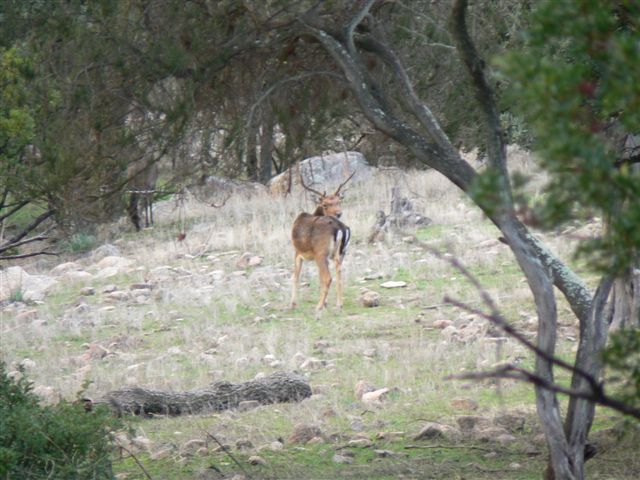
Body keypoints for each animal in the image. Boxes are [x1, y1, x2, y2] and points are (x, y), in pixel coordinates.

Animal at [290, 169, 356, 318]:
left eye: (339, 201)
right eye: (325, 204)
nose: (339, 213)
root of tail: (340, 228)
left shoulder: (298, 252)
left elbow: (296, 276)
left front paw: (292, 304)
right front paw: (326, 303)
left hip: (321, 252)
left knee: (328, 278)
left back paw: (318, 307)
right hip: (340, 253)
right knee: (338, 273)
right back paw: (339, 304)